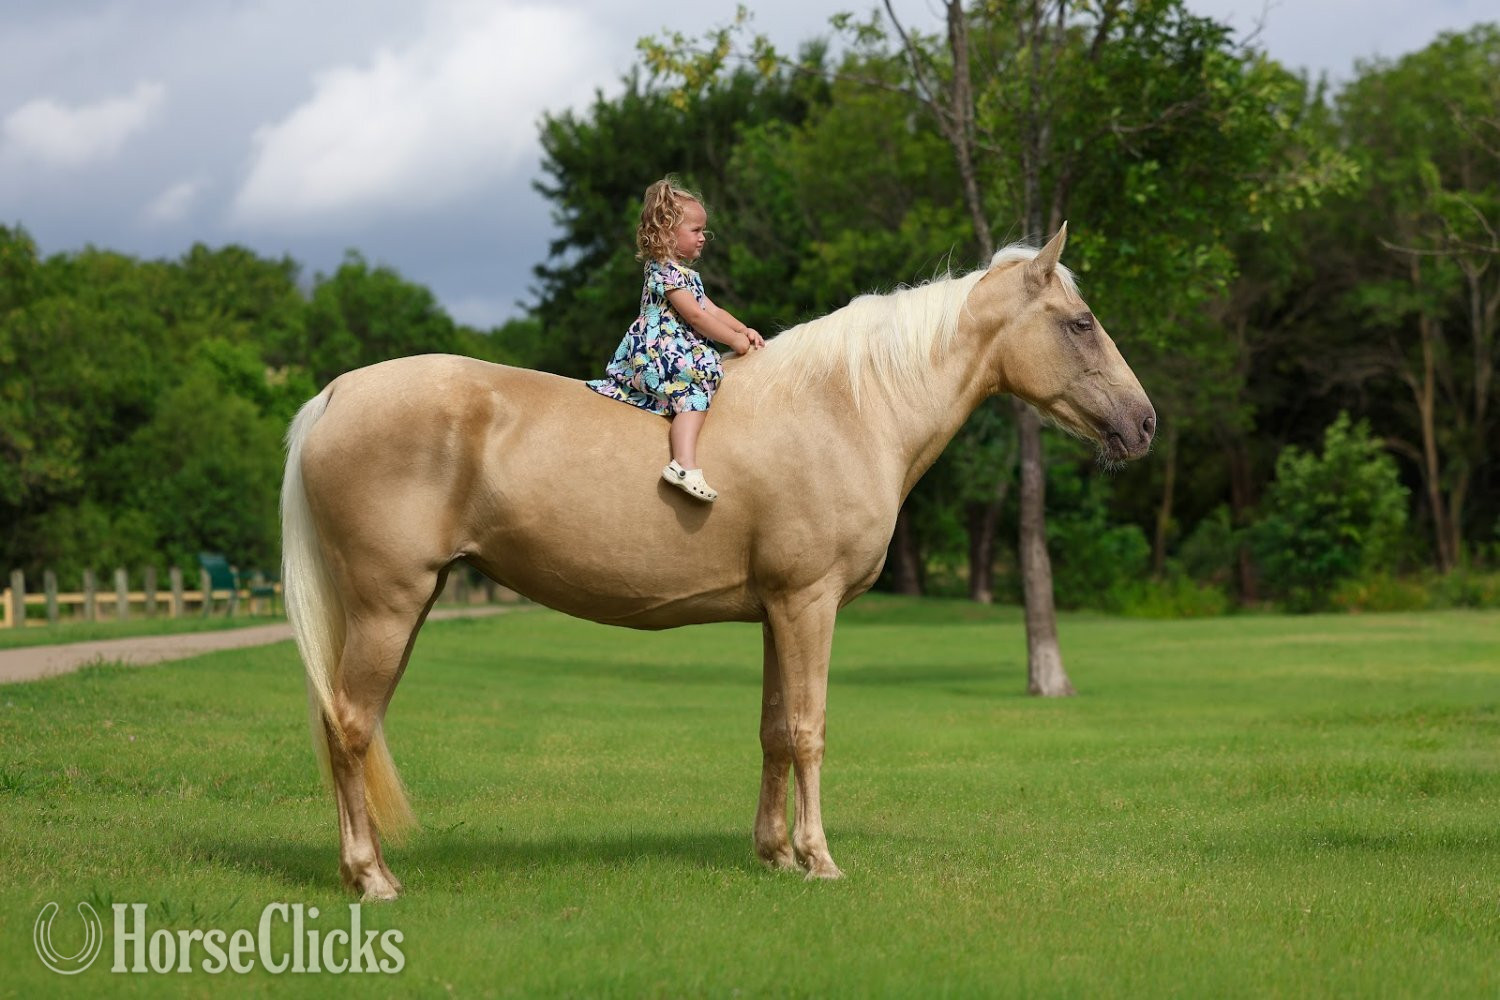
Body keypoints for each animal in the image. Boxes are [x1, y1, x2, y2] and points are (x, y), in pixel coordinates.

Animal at [280, 224, 1155, 900]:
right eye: (1081, 323)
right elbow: (808, 730)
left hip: (405, 607)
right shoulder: (808, 604)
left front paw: (773, 855)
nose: (1144, 424)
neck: (849, 408)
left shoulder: (777, 610)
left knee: (344, 725)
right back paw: (372, 878)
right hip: (389, 605)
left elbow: (772, 730)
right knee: (350, 724)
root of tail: (335, 395)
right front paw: (819, 861)